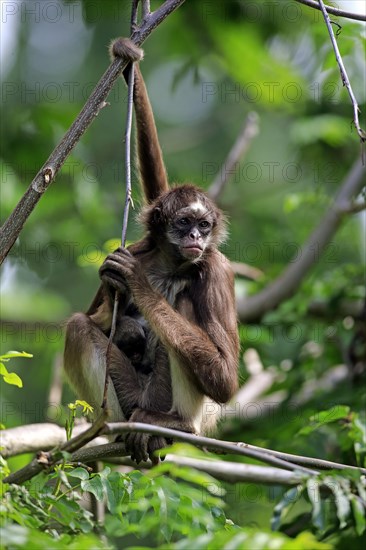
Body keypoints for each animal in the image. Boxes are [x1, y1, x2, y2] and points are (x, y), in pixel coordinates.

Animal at [64, 37, 239, 466]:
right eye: (184, 222)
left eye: (204, 226)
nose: (195, 237)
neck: (169, 264)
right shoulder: (137, 248)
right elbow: (94, 318)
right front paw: (122, 318)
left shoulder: (216, 267)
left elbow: (225, 381)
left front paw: (137, 284)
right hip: (130, 397)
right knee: (77, 326)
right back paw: (114, 428)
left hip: (165, 397)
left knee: (186, 309)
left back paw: (174, 426)